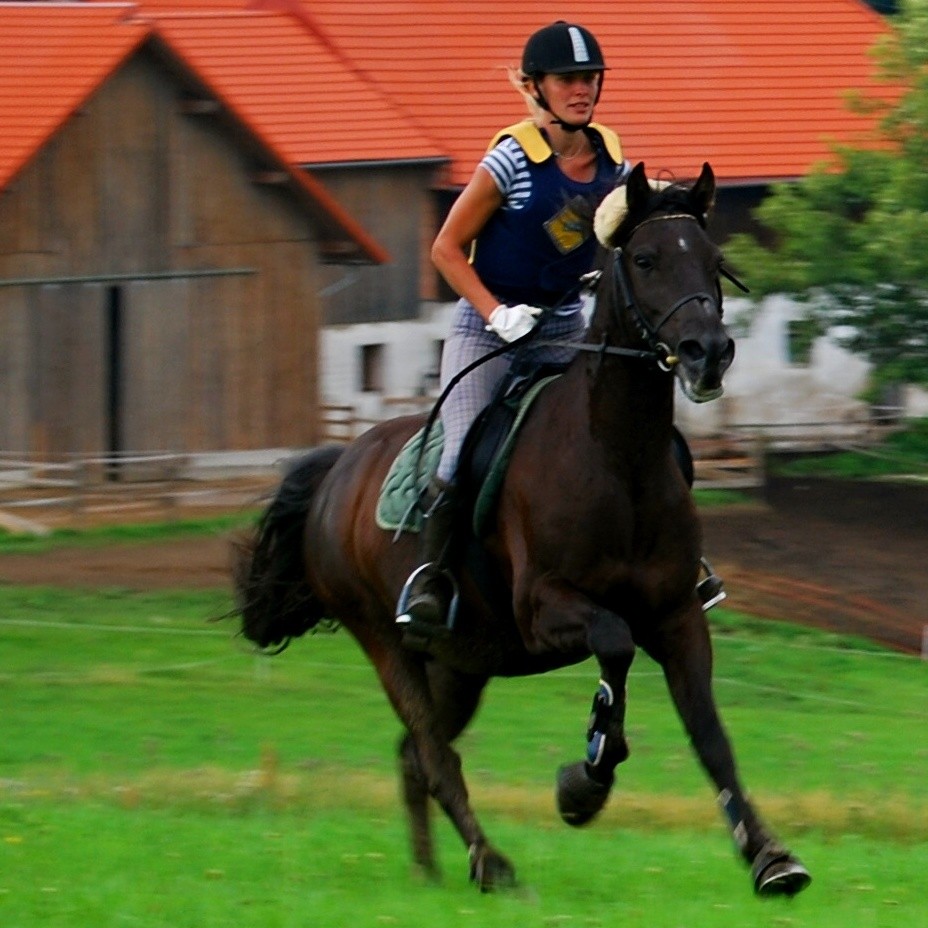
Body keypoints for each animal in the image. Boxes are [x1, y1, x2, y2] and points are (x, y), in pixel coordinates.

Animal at [234, 165, 812, 900]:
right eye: (646, 259)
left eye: (714, 261)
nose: (706, 354)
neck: (617, 456)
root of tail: (337, 468)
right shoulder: (544, 608)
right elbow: (614, 644)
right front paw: (584, 782)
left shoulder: (678, 614)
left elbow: (710, 735)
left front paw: (770, 857)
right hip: (384, 640)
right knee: (432, 749)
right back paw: (491, 862)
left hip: (459, 661)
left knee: (414, 753)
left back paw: (429, 873)